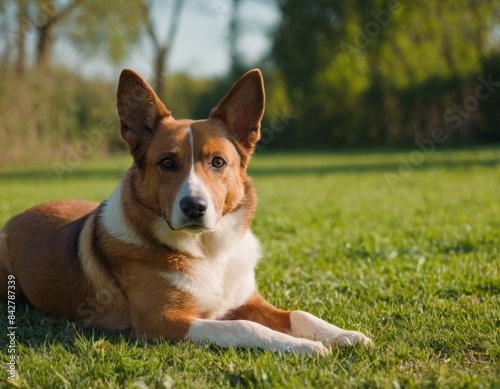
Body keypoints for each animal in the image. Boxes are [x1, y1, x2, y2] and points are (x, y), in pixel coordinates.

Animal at [0, 68, 372, 354]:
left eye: (218, 162)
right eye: (167, 162)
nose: (194, 207)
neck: (207, 251)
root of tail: (18, 216)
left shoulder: (248, 300)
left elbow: (299, 314)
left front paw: (343, 334)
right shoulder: (161, 322)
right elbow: (243, 327)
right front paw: (303, 346)